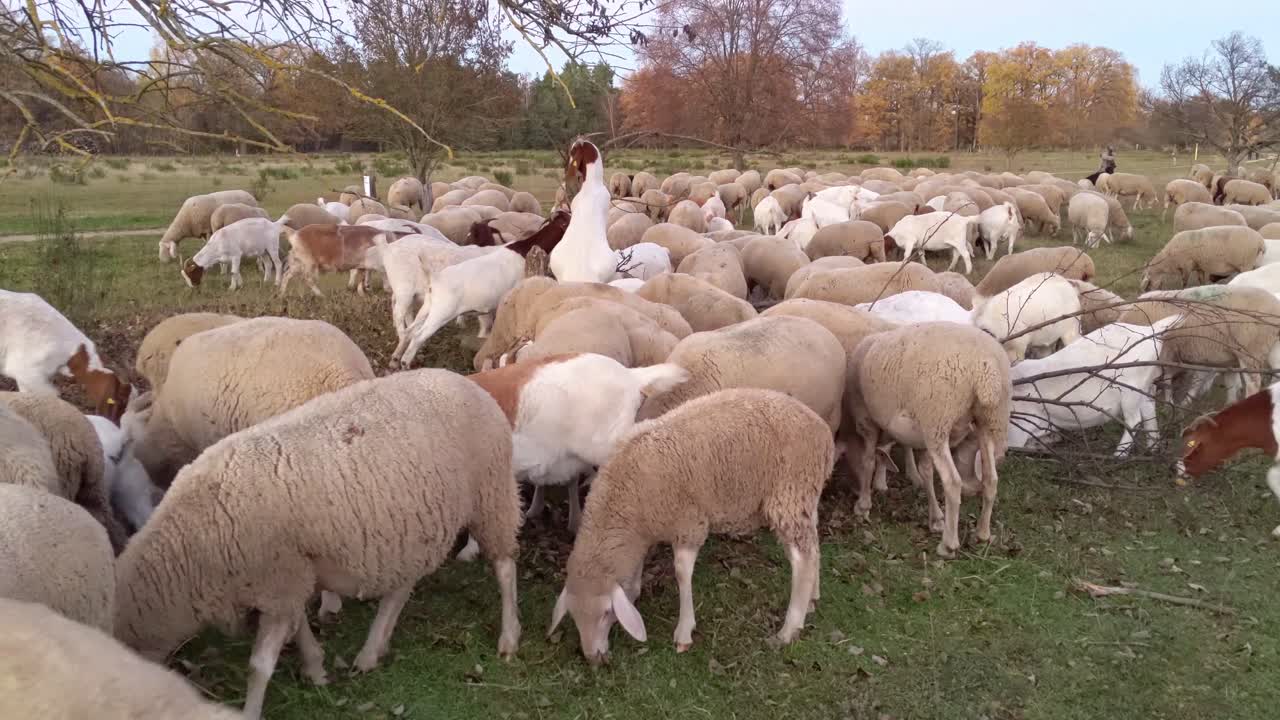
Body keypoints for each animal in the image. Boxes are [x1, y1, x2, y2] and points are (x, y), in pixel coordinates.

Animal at [115, 369, 521, 720]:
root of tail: (469, 383)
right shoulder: (291, 578)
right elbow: (299, 629)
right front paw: (315, 667)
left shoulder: (279, 580)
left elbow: (259, 666)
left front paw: (251, 709)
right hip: (413, 527)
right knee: (400, 589)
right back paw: (372, 650)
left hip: (491, 492)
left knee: (505, 566)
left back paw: (509, 636)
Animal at [550, 388, 831, 662]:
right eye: (573, 617)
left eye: (607, 613)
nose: (592, 658)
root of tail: (823, 431)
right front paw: (634, 592)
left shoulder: (689, 523)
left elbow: (682, 573)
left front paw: (684, 631)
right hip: (805, 497)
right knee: (814, 546)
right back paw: (813, 598)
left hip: (789, 494)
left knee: (802, 560)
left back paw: (790, 628)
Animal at [844, 322, 1010, 556]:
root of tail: (985, 367)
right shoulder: (921, 435)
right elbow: (926, 472)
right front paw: (936, 518)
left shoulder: (866, 420)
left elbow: (868, 461)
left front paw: (863, 505)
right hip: (988, 419)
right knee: (990, 479)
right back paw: (983, 533)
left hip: (938, 417)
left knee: (953, 482)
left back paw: (948, 544)